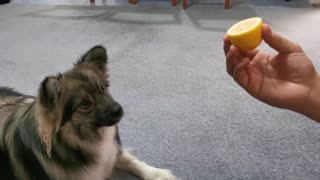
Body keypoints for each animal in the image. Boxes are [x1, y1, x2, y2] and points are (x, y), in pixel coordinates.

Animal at [0, 45, 175, 180]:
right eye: (84, 104)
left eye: (103, 88)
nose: (119, 110)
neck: (85, 137)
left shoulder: (111, 152)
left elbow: (131, 160)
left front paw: (157, 174)